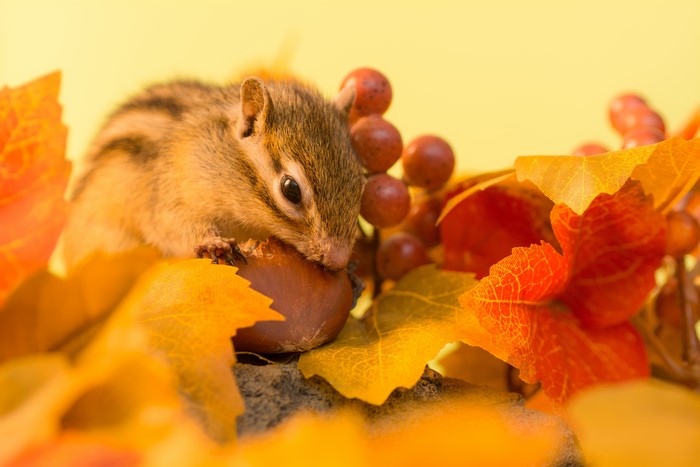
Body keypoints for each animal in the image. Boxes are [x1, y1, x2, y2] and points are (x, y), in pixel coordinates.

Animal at [61, 76, 365, 272]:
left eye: (361, 181)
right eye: (291, 189)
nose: (338, 259)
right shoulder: (170, 195)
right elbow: (172, 227)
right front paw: (214, 242)